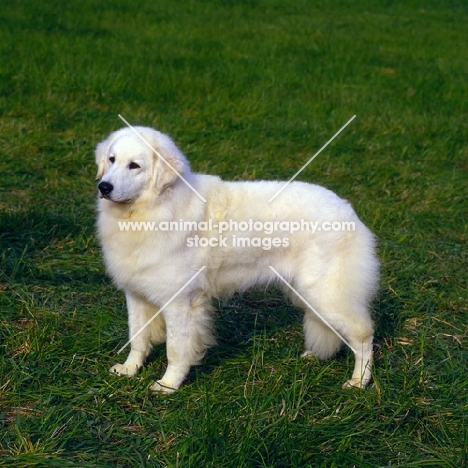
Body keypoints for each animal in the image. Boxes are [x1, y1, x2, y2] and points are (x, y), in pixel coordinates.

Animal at [96, 126, 380, 394]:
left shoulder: (180, 302)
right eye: (111, 159)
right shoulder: (135, 294)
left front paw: (168, 385)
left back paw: (359, 382)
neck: (152, 209)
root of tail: (347, 209)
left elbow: (175, 350)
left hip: (326, 295)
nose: (104, 187)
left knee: (364, 336)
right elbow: (137, 337)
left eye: (134, 165)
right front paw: (129, 369)